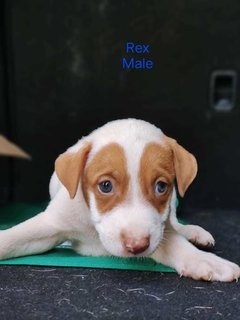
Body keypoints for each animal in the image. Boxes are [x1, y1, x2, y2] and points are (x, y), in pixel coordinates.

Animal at [0, 119, 240, 282]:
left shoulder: (157, 229)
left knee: (174, 223)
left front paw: (203, 260)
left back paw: (194, 233)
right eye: (105, 186)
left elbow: (173, 242)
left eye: (161, 186)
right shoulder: (53, 223)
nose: (136, 245)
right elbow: (14, 237)